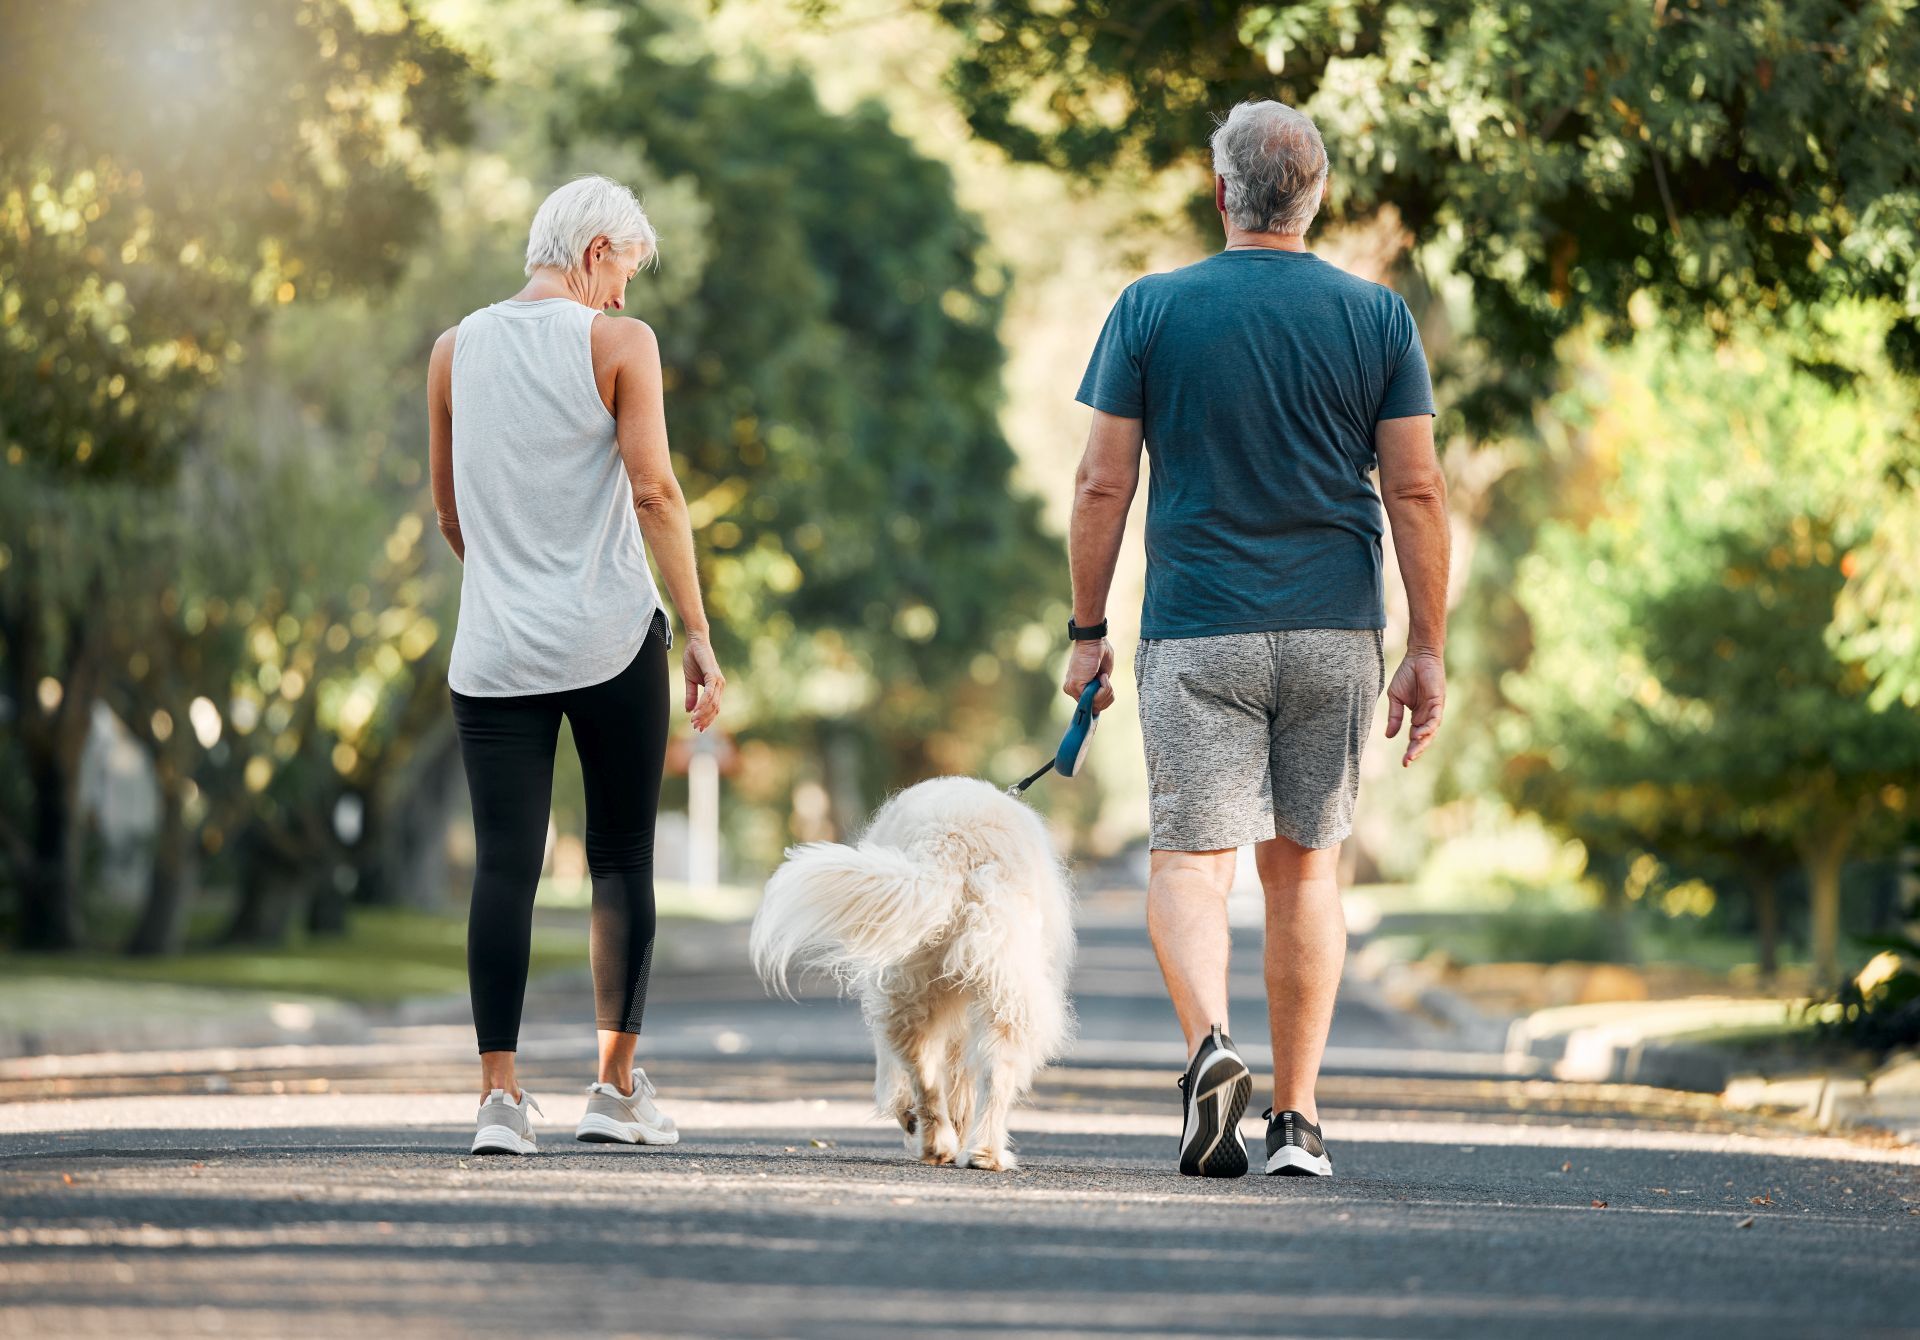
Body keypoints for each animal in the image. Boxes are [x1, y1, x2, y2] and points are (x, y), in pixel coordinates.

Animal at [752, 771, 1082, 1167]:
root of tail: (953, 846)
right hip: (982, 990)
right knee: (977, 1072)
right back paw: (968, 1147)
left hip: (929, 989)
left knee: (934, 1071)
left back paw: (949, 1144)